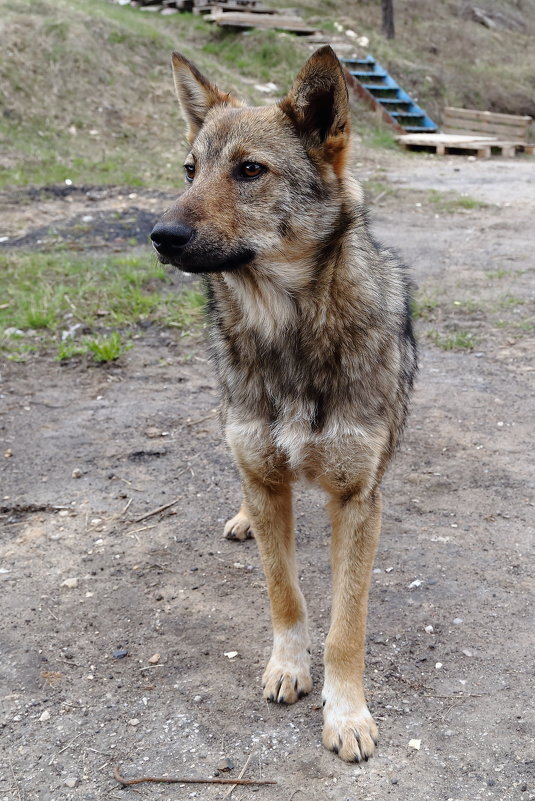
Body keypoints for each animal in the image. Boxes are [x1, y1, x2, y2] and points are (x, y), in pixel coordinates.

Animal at [151, 45, 418, 764]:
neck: (289, 335)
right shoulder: (269, 479)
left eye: (250, 170)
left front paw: (347, 713)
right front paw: (288, 667)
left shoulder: (357, 499)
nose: (159, 233)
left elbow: (345, 626)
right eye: (190, 170)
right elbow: (285, 593)